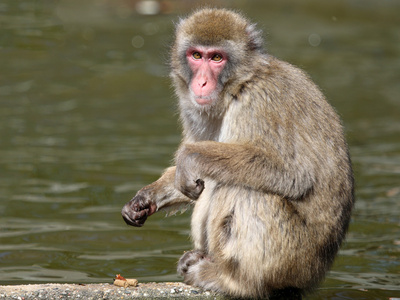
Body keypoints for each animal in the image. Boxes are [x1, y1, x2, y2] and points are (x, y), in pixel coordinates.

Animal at [121, 8, 354, 298]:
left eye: (217, 58)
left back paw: (231, 279)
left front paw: (188, 157)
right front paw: (146, 198)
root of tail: (316, 272)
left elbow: (293, 175)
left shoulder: (259, 101)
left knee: (242, 188)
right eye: (196, 55)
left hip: (293, 260)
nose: (202, 82)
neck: (238, 86)